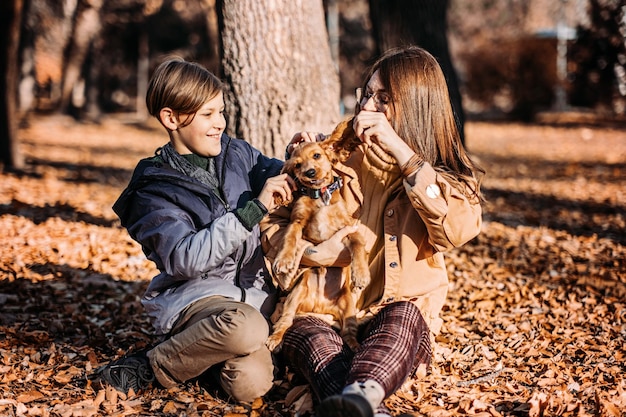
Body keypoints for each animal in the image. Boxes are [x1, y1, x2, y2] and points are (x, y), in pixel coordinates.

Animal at [264, 118, 366, 352]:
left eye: (317, 155)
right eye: (297, 165)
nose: (309, 173)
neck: (320, 196)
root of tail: (318, 309)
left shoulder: (348, 227)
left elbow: (357, 244)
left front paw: (361, 273)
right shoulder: (297, 221)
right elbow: (289, 238)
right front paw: (284, 260)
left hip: (349, 305)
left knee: (348, 330)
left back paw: (355, 345)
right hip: (297, 292)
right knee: (285, 320)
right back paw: (275, 339)